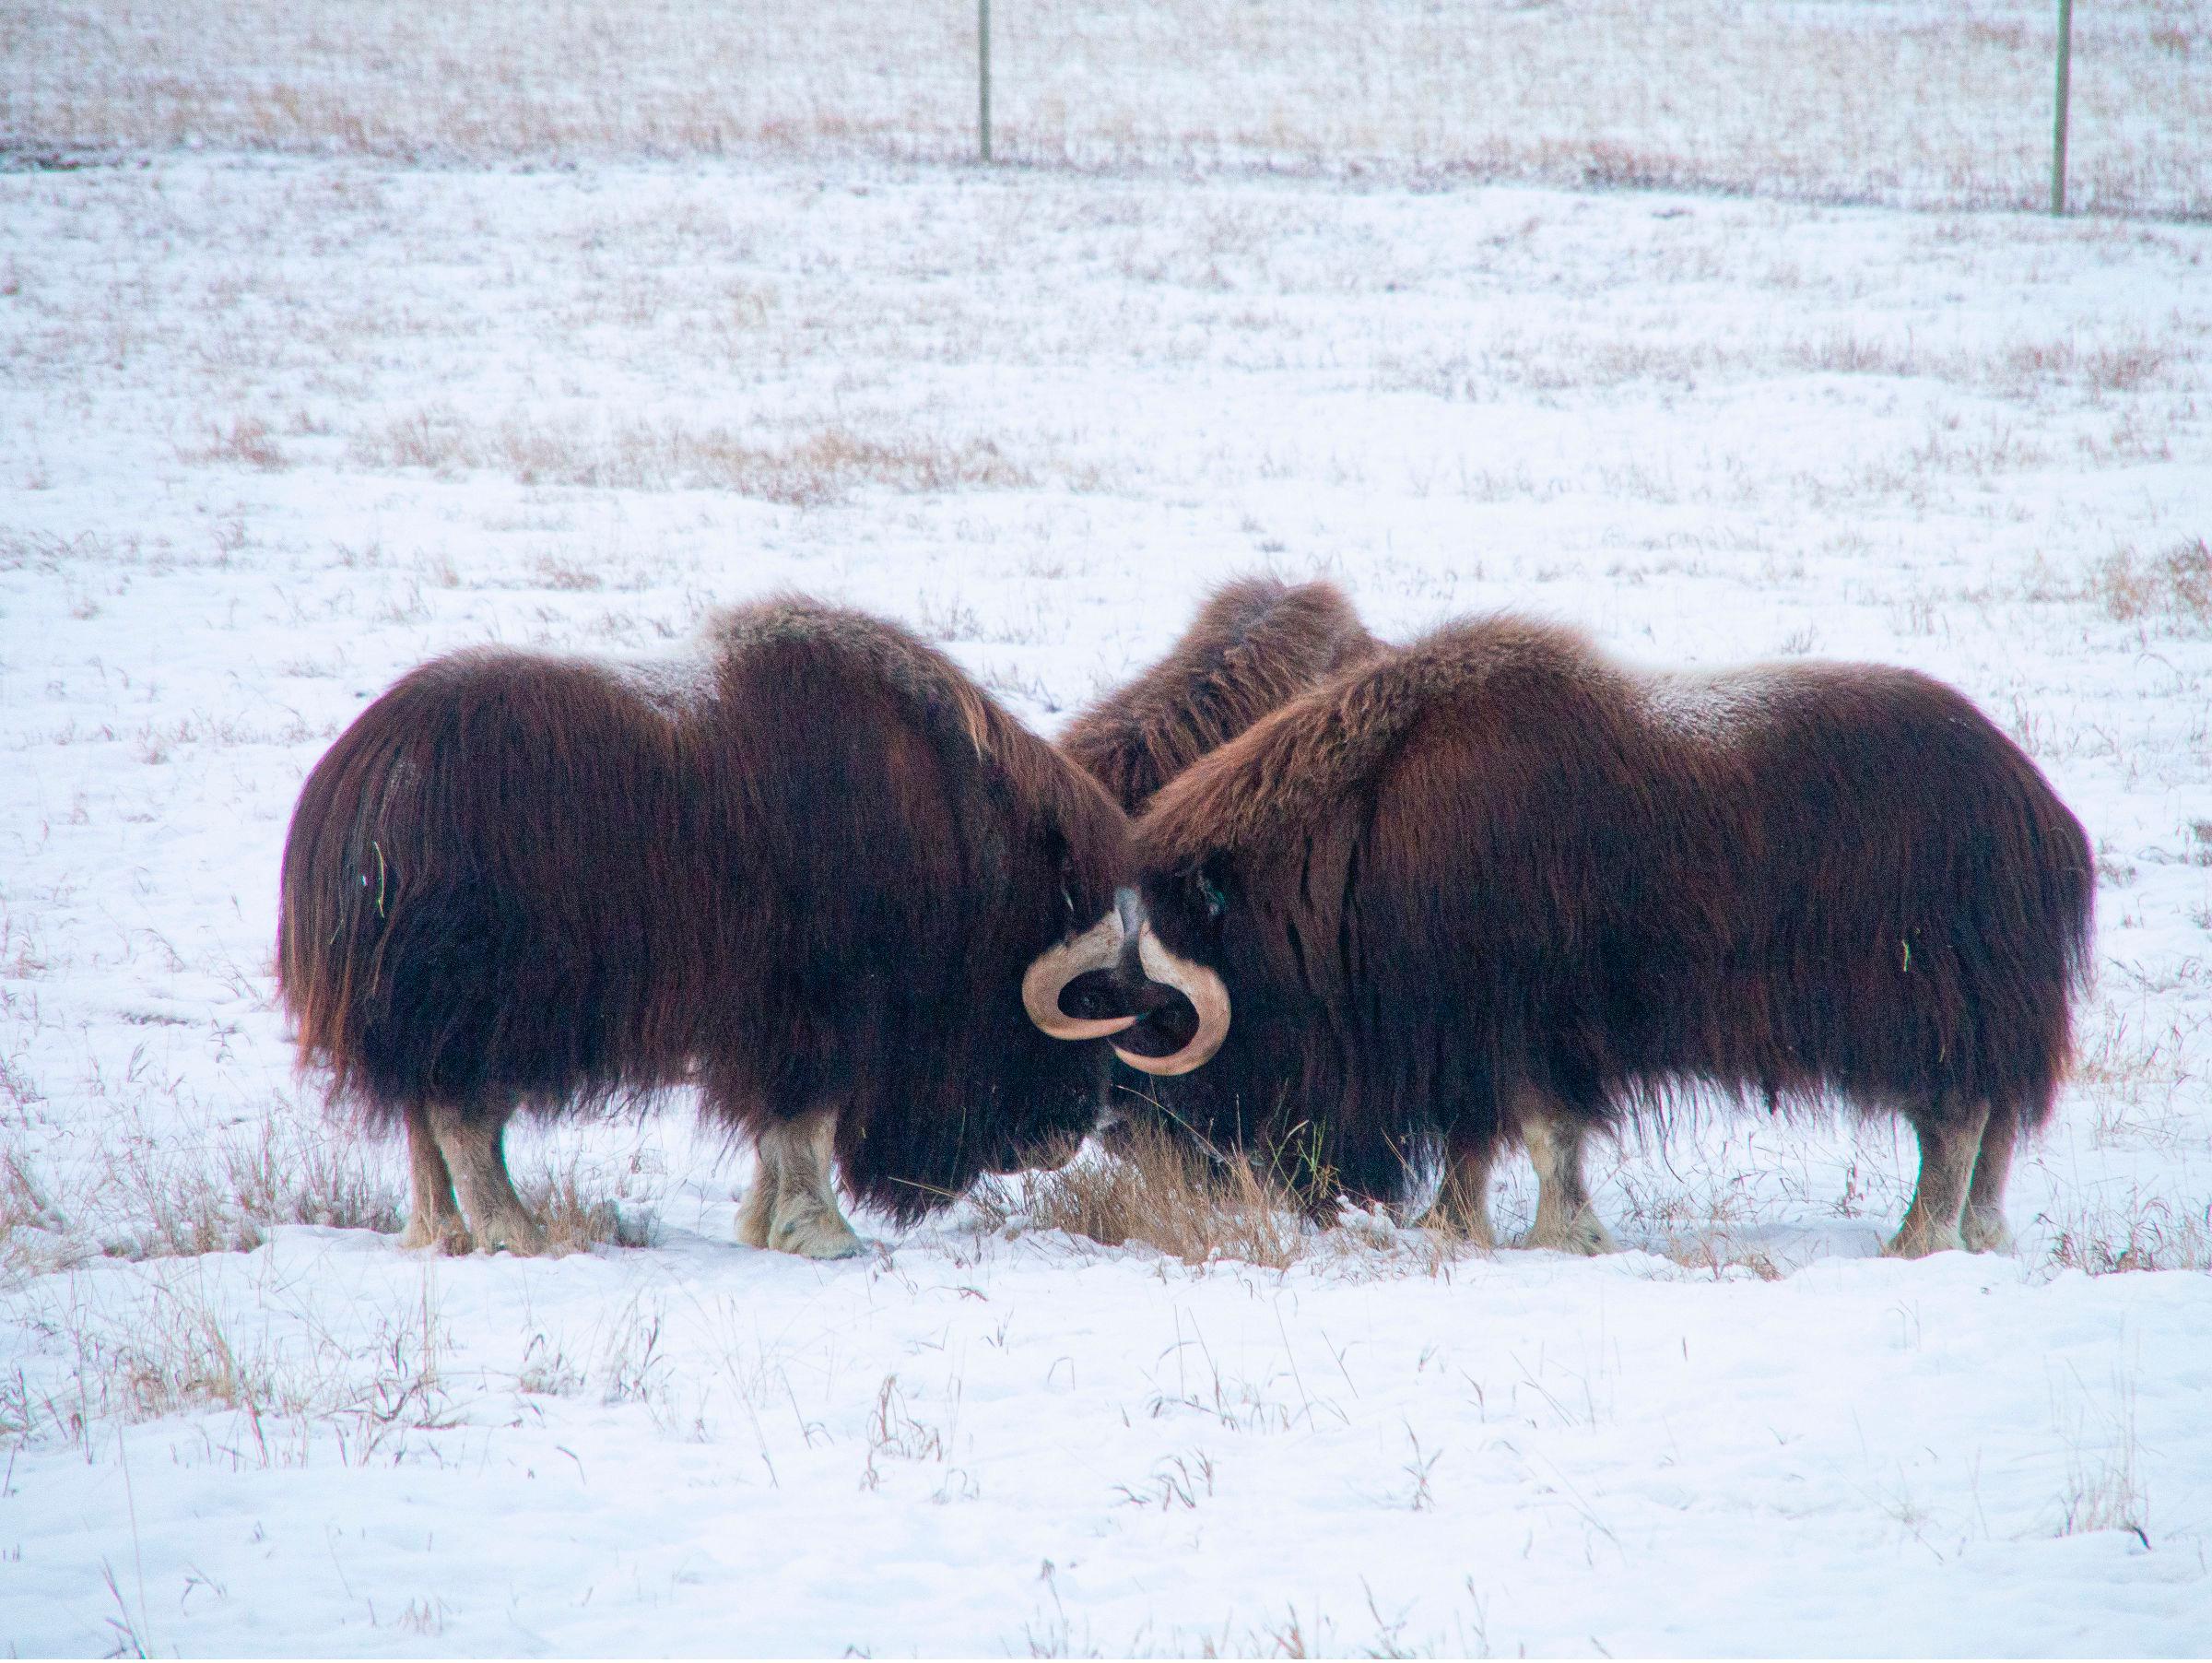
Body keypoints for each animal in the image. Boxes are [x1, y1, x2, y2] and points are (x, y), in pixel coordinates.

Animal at [277, 597, 1140, 1257]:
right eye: (1091, 1000)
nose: (1066, 1137)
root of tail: (357, 785)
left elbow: (780, 1133)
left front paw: (765, 1227)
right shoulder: (819, 1010)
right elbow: (806, 1126)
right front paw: (827, 1237)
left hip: (420, 1014)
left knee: (423, 1124)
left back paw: (445, 1234)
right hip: (481, 1010)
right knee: (461, 1117)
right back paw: (516, 1233)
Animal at [1057, 615, 2093, 1258]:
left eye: (1162, 1018)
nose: (1128, 1145)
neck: (1360, 839)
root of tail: (2037, 807)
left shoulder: (1520, 1024)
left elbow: (1543, 1131)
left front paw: (1562, 1236)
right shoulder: (1463, 1039)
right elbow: (1475, 1139)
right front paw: (1451, 1227)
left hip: (1932, 1007)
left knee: (1955, 1119)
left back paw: (1917, 1239)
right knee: (1991, 1127)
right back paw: (1978, 1235)